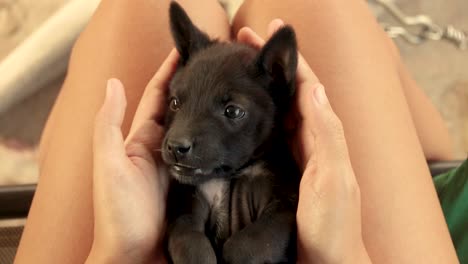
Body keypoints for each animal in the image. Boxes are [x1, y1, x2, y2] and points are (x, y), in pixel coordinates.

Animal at [161, 2, 300, 264]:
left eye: (233, 111)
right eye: (174, 103)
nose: (175, 147)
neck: (231, 174)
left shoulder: (284, 209)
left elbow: (246, 244)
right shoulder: (187, 207)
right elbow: (190, 243)